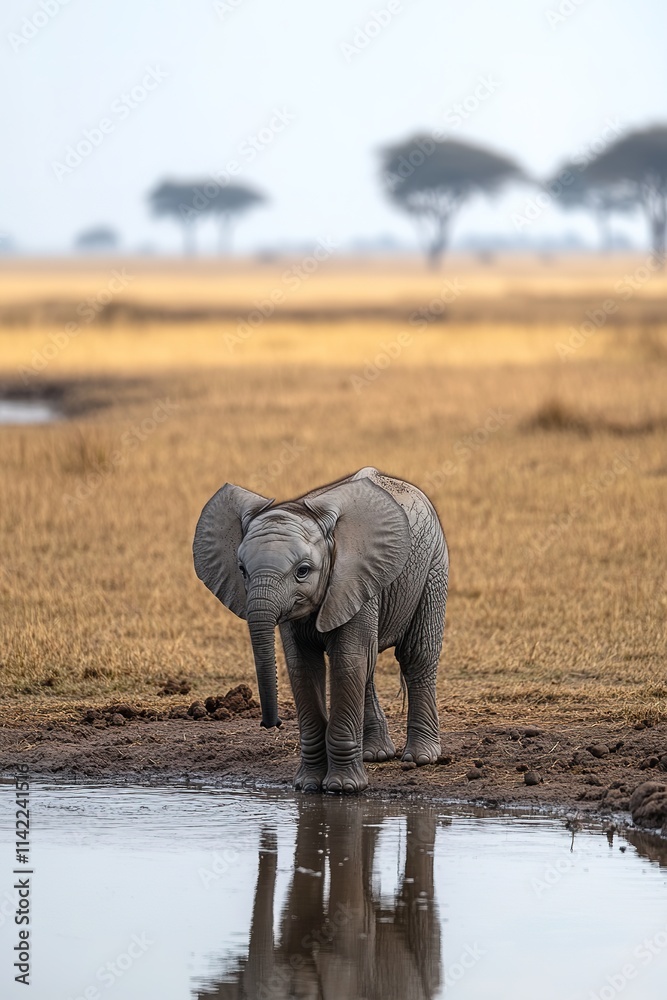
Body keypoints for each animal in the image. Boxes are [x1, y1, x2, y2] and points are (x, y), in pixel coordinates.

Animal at [193, 466, 448, 793]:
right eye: (242, 571)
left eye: (302, 571)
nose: (272, 724)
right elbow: (303, 666)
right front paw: (308, 786)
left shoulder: (352, 577)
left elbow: (346, 662)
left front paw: (342, 788)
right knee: (368, 667)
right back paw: (375, 755)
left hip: (434, 566)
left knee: (416, 656)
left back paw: (420, 758)